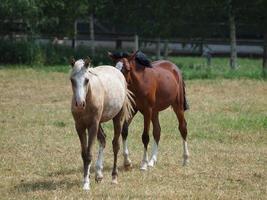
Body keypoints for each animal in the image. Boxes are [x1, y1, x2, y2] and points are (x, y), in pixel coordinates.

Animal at [70, 57, 135, 191]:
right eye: (72, 80)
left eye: (86, 80)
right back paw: (99, 174)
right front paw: (87, 178)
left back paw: (114, 177)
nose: (79, 103)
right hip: (99, 123)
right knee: (103, 139)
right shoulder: (79, 126)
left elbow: (89, 154)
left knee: (115, 144)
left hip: (117, 118)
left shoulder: (93, 126)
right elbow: (84, 154)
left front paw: (86, 184)